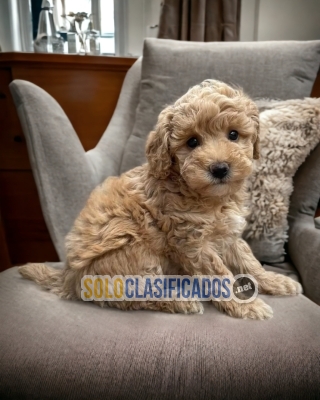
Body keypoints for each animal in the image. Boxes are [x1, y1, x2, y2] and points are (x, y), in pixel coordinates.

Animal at [20, 79, 302, 320]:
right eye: (192, 142)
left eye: (233, 135)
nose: (220, 168)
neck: (207, 196)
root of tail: (68, 277)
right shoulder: (191, 242)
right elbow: (220, 275)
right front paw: (247, 306)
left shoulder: (228, 235)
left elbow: (249, 261)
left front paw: (274, 281)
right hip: (135, 253)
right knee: (135, 295)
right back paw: (180, 301)